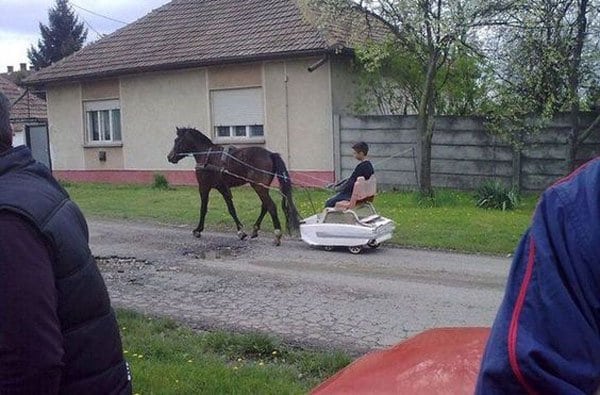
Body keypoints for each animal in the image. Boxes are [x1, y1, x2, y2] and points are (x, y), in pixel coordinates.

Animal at [166, 127, 300, 246]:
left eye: (177, 140)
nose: (169, 157)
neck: (207, 155)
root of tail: (271, 154)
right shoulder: (223, 188)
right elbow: (231, 209)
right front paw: (240, 231)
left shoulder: (204, 187)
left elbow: (203, 209)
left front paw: (198, 230)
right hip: (260, 187)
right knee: (265, 206)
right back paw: (255, 229)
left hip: (258, 186)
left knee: (271, 206)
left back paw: (277, 235)